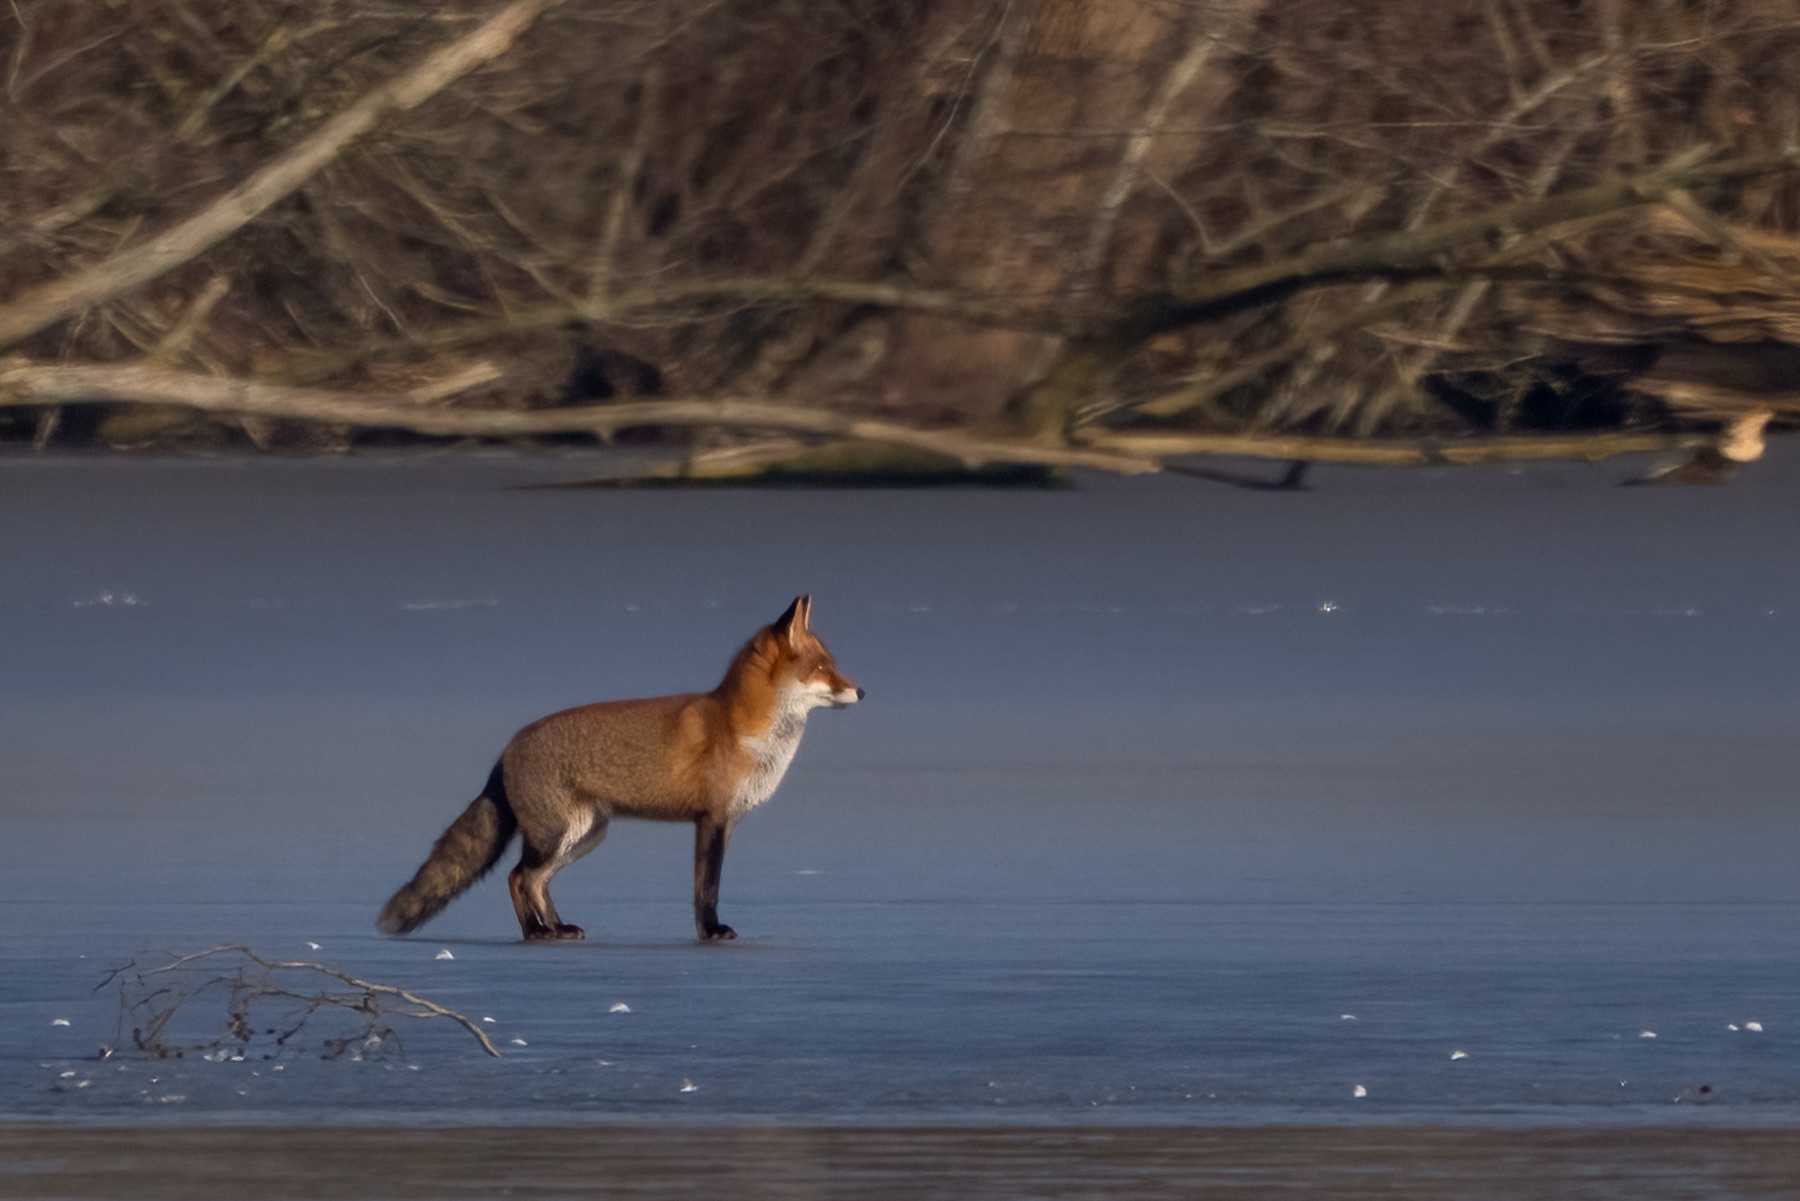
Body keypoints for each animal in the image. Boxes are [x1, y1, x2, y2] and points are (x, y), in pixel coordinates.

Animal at [376, 596, 862, 942]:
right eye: (823, 668)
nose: (861, 691)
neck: (741, 727)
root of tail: (506, 748)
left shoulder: (724, 823)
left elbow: (706, 887)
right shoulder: (711, 819)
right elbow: (707, 888)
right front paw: (710, 932)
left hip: (586, 835)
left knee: (536, 883)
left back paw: (557, 927)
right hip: (558, 835)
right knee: (517, 878)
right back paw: (535, 932)